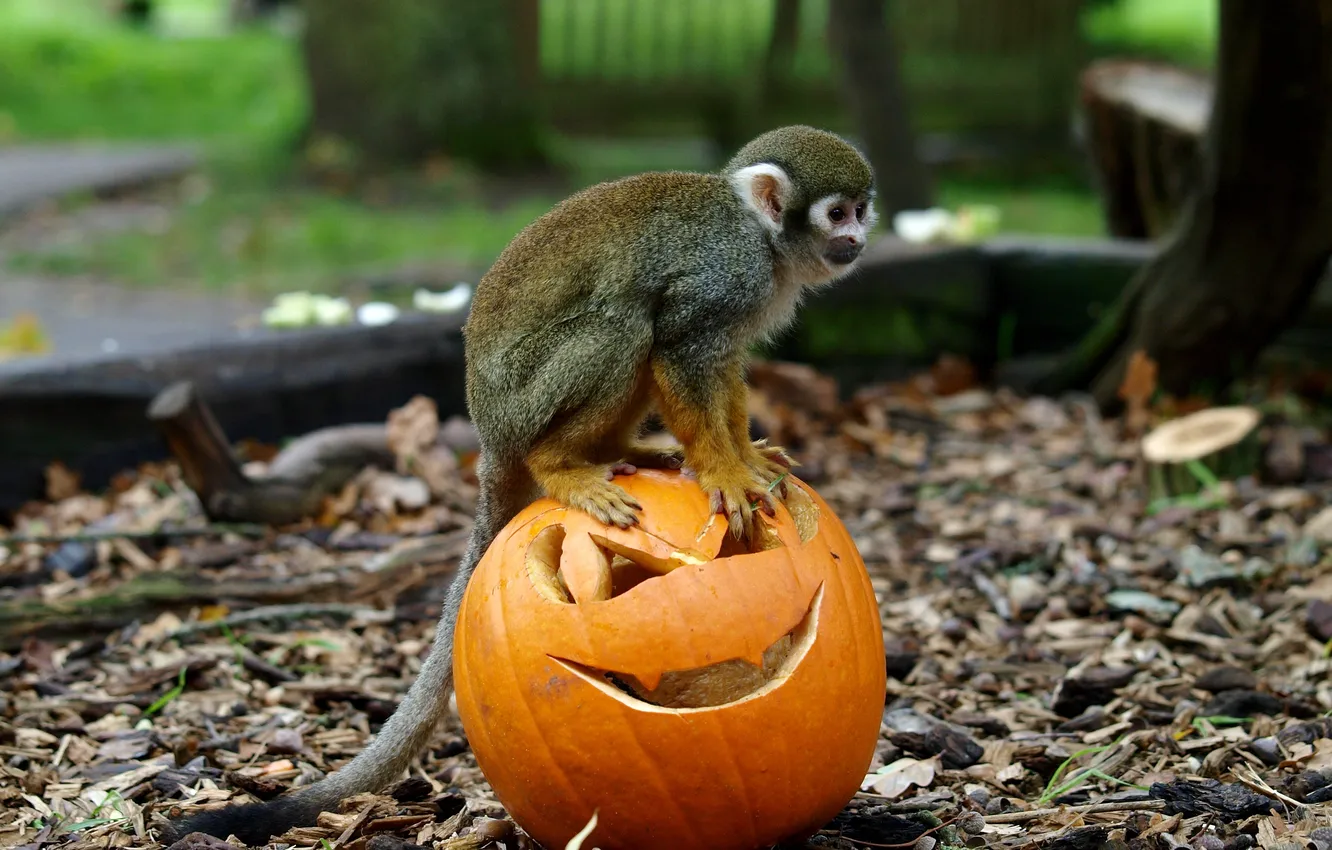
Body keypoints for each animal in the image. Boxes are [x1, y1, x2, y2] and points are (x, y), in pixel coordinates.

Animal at [161, 125, 876, 846]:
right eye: (837, 213)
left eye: (861, 211)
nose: (858, 239)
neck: (763, 239)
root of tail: (488, 433)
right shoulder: (725, 276)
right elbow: (683, 345)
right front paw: (724, 470)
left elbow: (720, 365)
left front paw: (747, 458)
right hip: (525, 397)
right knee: (625, 320)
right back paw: (561, 465)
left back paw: (620, 452)